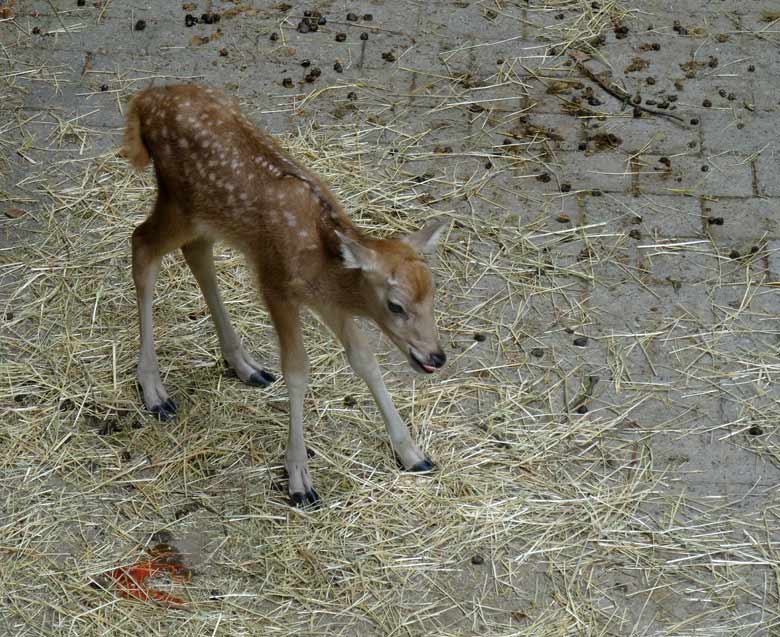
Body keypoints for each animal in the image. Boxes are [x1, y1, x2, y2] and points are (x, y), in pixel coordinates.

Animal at [124, 84, 448, 504]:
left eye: (433, 294)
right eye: (396, 305)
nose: (436, 356)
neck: (322, 263)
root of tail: (143, 100)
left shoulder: (329, 302)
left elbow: (364, 360)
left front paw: (413, 454)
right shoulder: (276, 284)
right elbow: (297, 370)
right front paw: (299, 479)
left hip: (206, 214)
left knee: (195, 251)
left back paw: (244, 365)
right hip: (178, 198)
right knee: (142, 245)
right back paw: (154, 391)